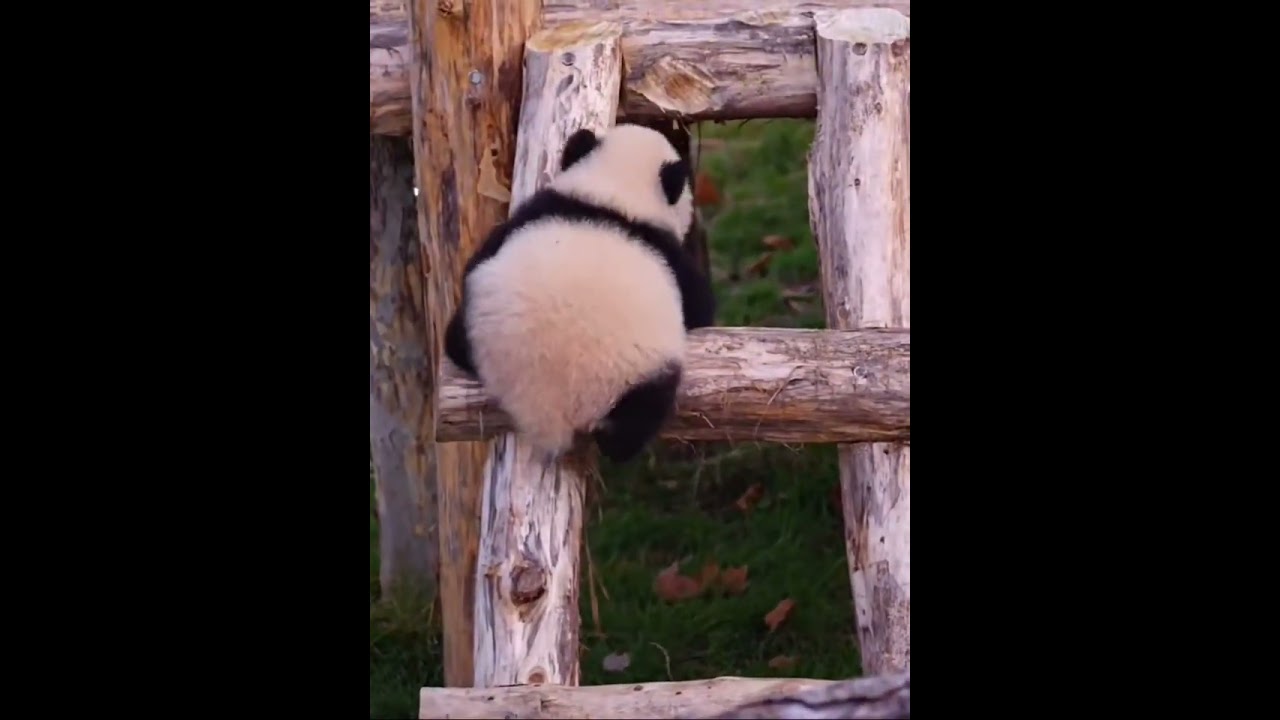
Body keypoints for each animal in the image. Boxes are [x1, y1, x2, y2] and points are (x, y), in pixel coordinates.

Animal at [443, 123, 716, 467]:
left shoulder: (537, 211)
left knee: (453, 339)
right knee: (640, 417)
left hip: (476, 319)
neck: (614, 194)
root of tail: (545, 410)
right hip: (641, 375)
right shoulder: (666, 251)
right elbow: (700, 306)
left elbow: (478, 257)